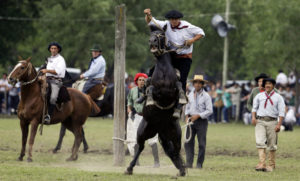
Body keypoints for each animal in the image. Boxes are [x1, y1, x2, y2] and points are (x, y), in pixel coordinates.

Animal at [124, 24, 185, 176]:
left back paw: (182, 170)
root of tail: (160, 128)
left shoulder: (173, 90)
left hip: (175, 134)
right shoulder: (155, 89)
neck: (163, 71)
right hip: (142, 132)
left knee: (176, 150)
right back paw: (129, 168)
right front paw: (149, 99)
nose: (152, 42)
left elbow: (179, 86)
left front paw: (182, 97)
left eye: (161, 34)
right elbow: (150, 88)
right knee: (140, 147)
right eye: (151, 34)